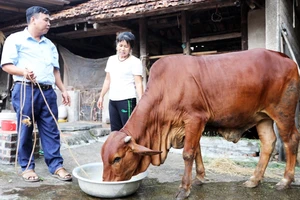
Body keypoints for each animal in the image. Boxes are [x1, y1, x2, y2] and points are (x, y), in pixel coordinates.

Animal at [101, 48, 300, 198]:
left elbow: (188, 154)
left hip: (283, 112)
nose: (106, 182)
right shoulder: (189, 126)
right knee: (268, 143)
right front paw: (199, 178)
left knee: (291, 139)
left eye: (117, 158)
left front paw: (184, 189)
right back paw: (254, 180)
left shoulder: (195, 119)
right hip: (262, 117)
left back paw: (285, 181)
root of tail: (287, 59)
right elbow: (197, 150)